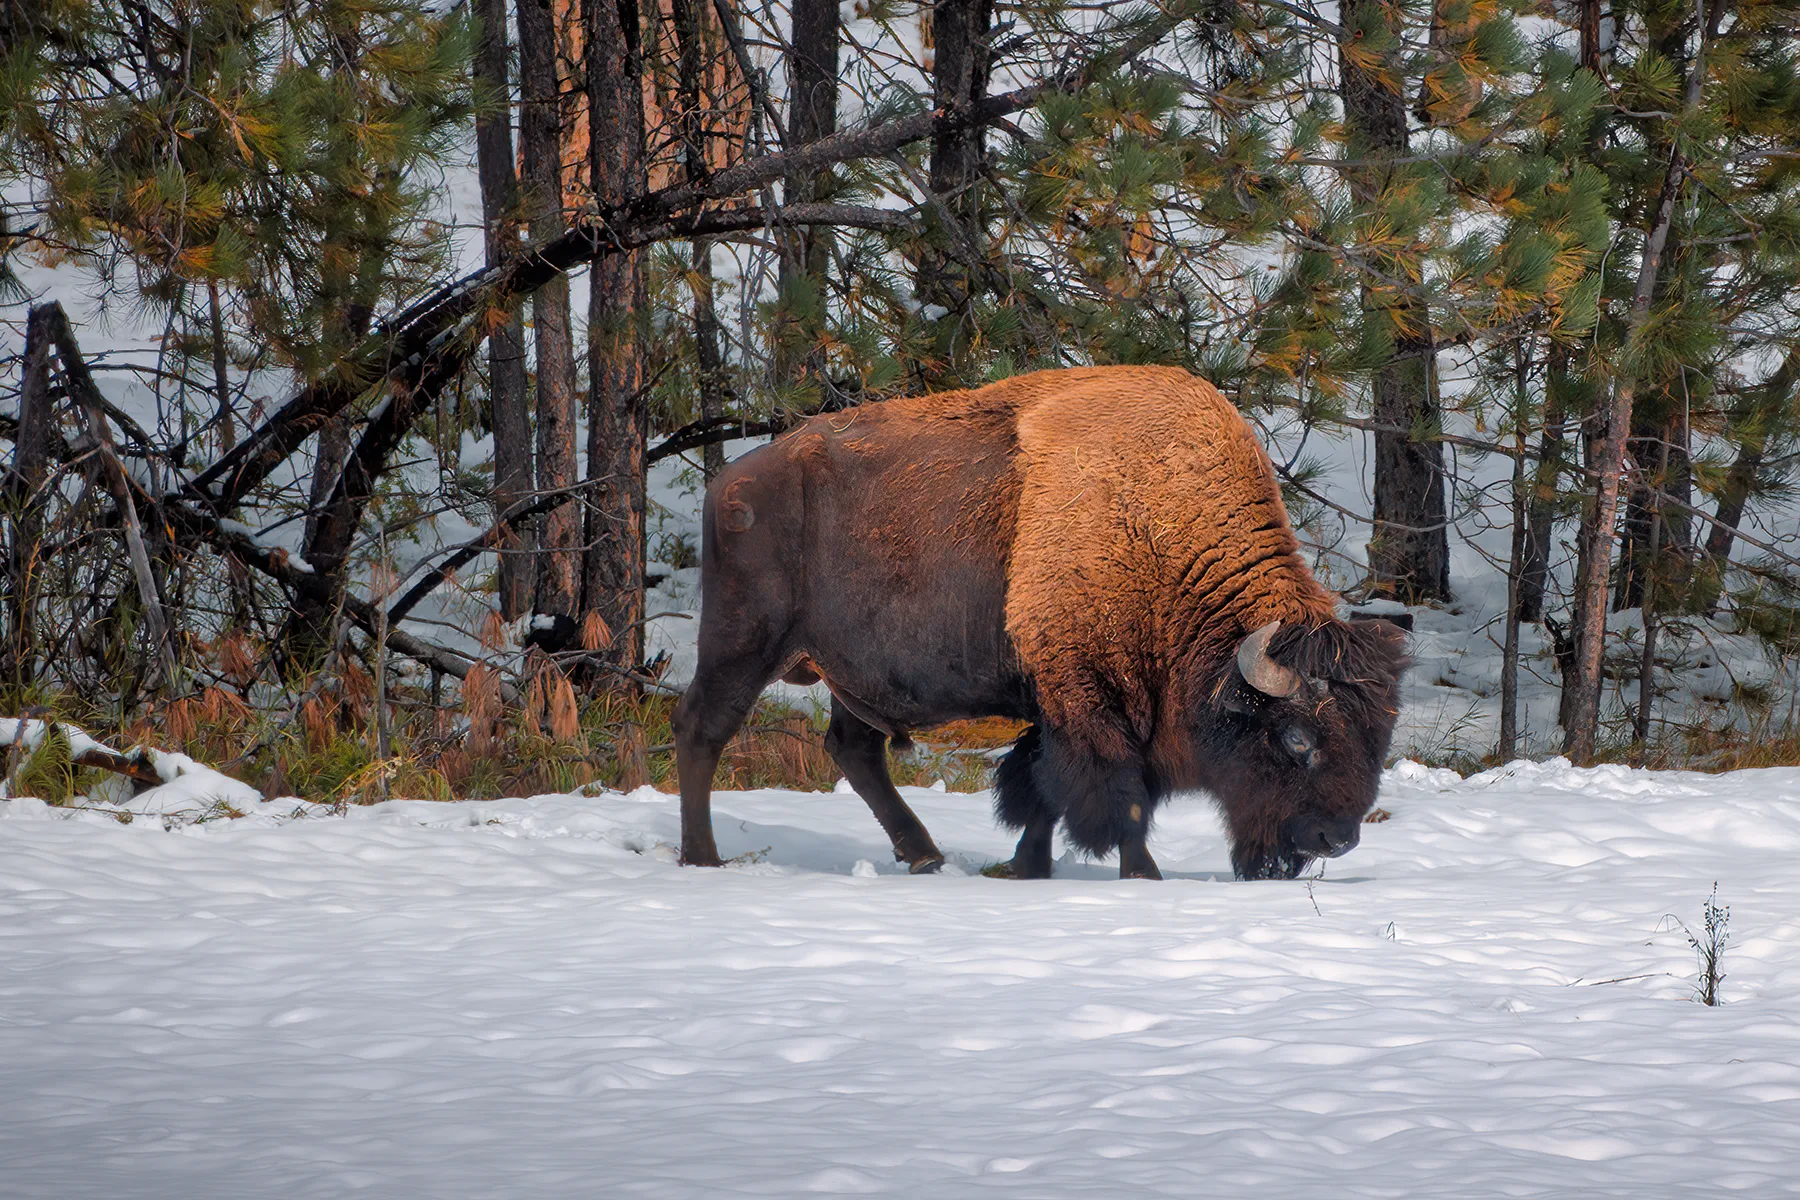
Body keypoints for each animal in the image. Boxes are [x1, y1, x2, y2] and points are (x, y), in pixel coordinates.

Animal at [672, 366, 1408, 880]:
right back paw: (702, 858)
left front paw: (1029, 867)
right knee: (703, 729)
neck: (1159, 526)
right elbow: (1116, 794)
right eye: (1296, 739)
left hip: (853, 672)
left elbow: (1043, 792)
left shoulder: (1060, 706)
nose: (1336, 839)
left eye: (1378, 738)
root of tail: (730, 479)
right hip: (743, 641)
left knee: (855, 749)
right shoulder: (1087, 700)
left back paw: (925, 857)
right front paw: (1143, 875)